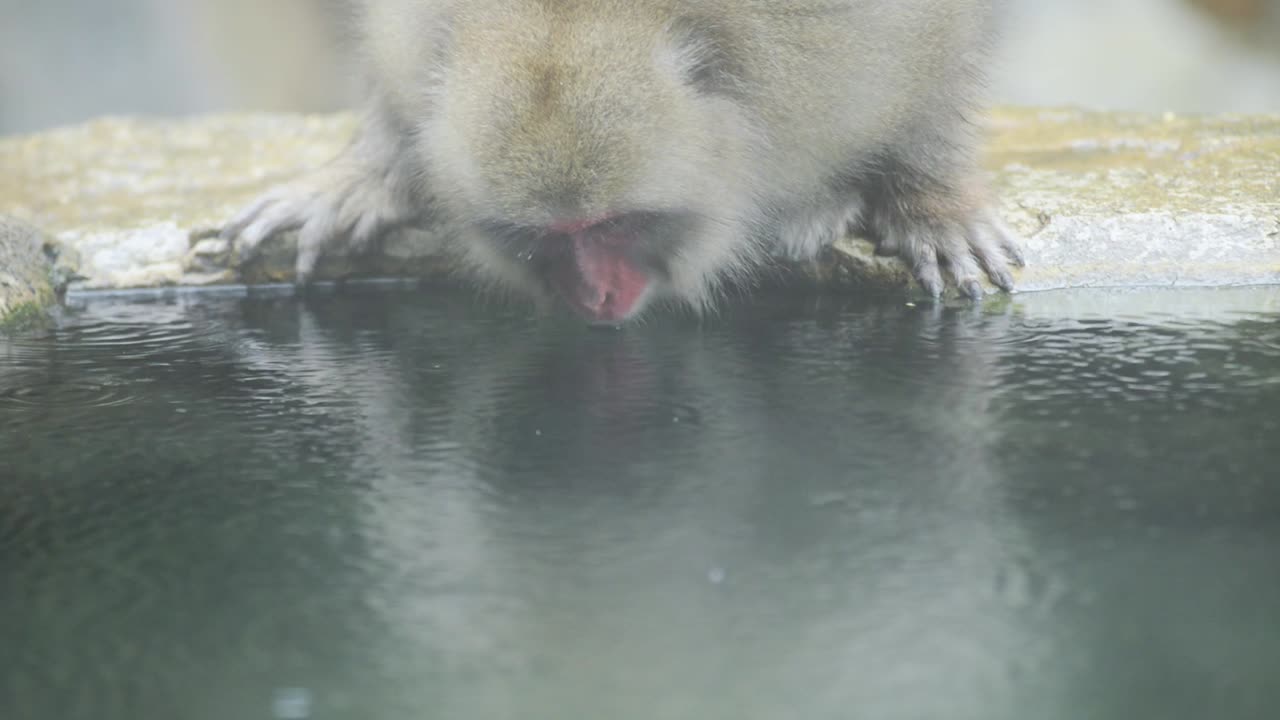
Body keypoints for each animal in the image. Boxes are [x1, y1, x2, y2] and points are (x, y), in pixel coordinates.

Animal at [222, 0, 1025, 325]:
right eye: (549, 237)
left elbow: (925, 53)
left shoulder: (838, 40)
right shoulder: (415, 33)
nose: (596, 297)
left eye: (614, 225)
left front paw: (929, 200)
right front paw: (369, 174)